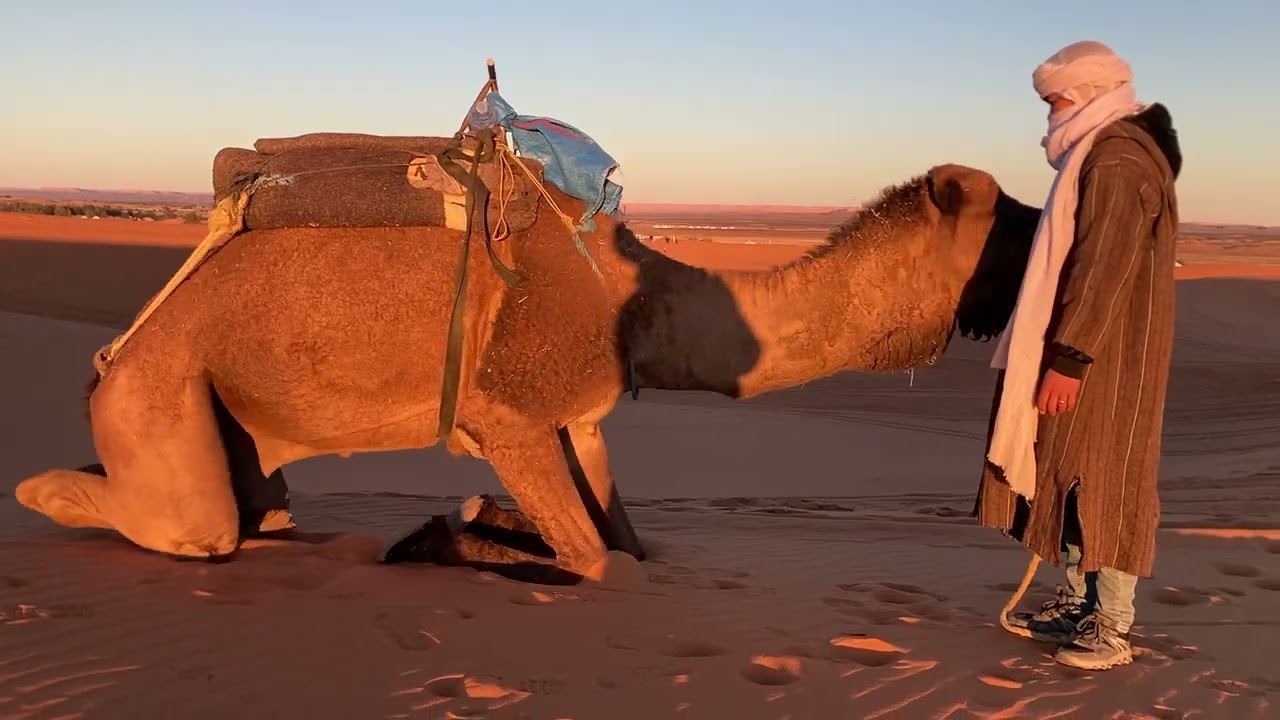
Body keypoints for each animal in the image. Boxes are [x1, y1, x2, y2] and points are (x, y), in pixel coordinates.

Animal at [14, 148, 1038, 582]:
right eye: (1012, 216)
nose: (1054, 239)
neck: (643, 297)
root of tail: (112, 360)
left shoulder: (577, 414)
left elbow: (624, 542)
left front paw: (469, 523)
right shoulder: (508, 411)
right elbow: (592, 559)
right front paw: (449, 534)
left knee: (261, 513)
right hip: (153, 394)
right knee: (195, 526)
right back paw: (44, 491)